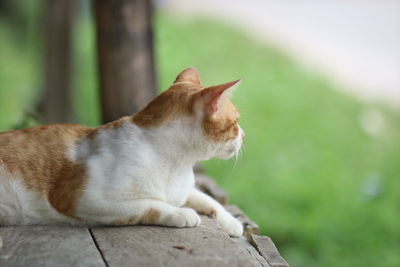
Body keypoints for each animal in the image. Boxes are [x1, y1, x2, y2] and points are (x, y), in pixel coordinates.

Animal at [0, 68, 244, 238]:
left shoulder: (183, 191)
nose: (243, 135)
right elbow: (150, 205)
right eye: (235, 123)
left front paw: (231, 221)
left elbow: (207, 198)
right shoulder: (83, 200)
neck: (178, 164)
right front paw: (180, 213)